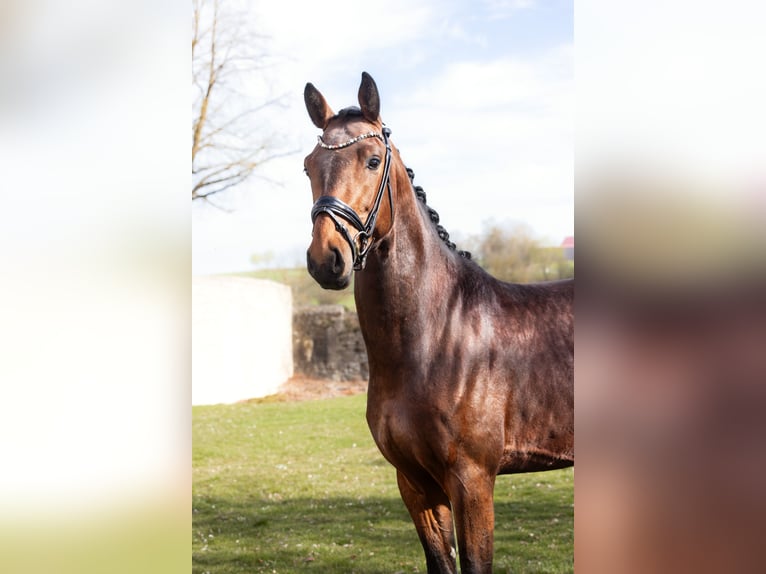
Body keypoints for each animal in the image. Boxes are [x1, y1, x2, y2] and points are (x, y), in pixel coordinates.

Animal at [302, 72, 574, 574]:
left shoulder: (472, 481)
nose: (326, 259)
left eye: (372, 161)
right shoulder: (415, 484)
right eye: (309, 166)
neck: (437, 336)